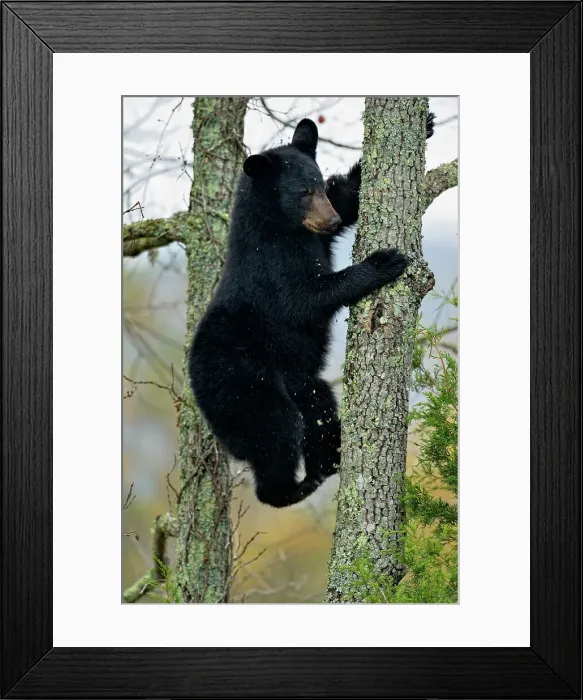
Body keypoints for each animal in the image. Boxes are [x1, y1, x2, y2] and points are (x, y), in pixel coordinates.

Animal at [189, 114, 434, 508]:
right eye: (303, 193)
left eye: (319, 186)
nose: (330, 221)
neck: (280, 227)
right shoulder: (270, 264)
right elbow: (304, 297)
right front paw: (383, 262)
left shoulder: (314, 235)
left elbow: (349, 196)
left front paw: (426, 124)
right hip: (243, 382)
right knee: (277, 429)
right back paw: (294, 487)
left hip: (300, 380)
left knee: (317, 406)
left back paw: (331, 453)